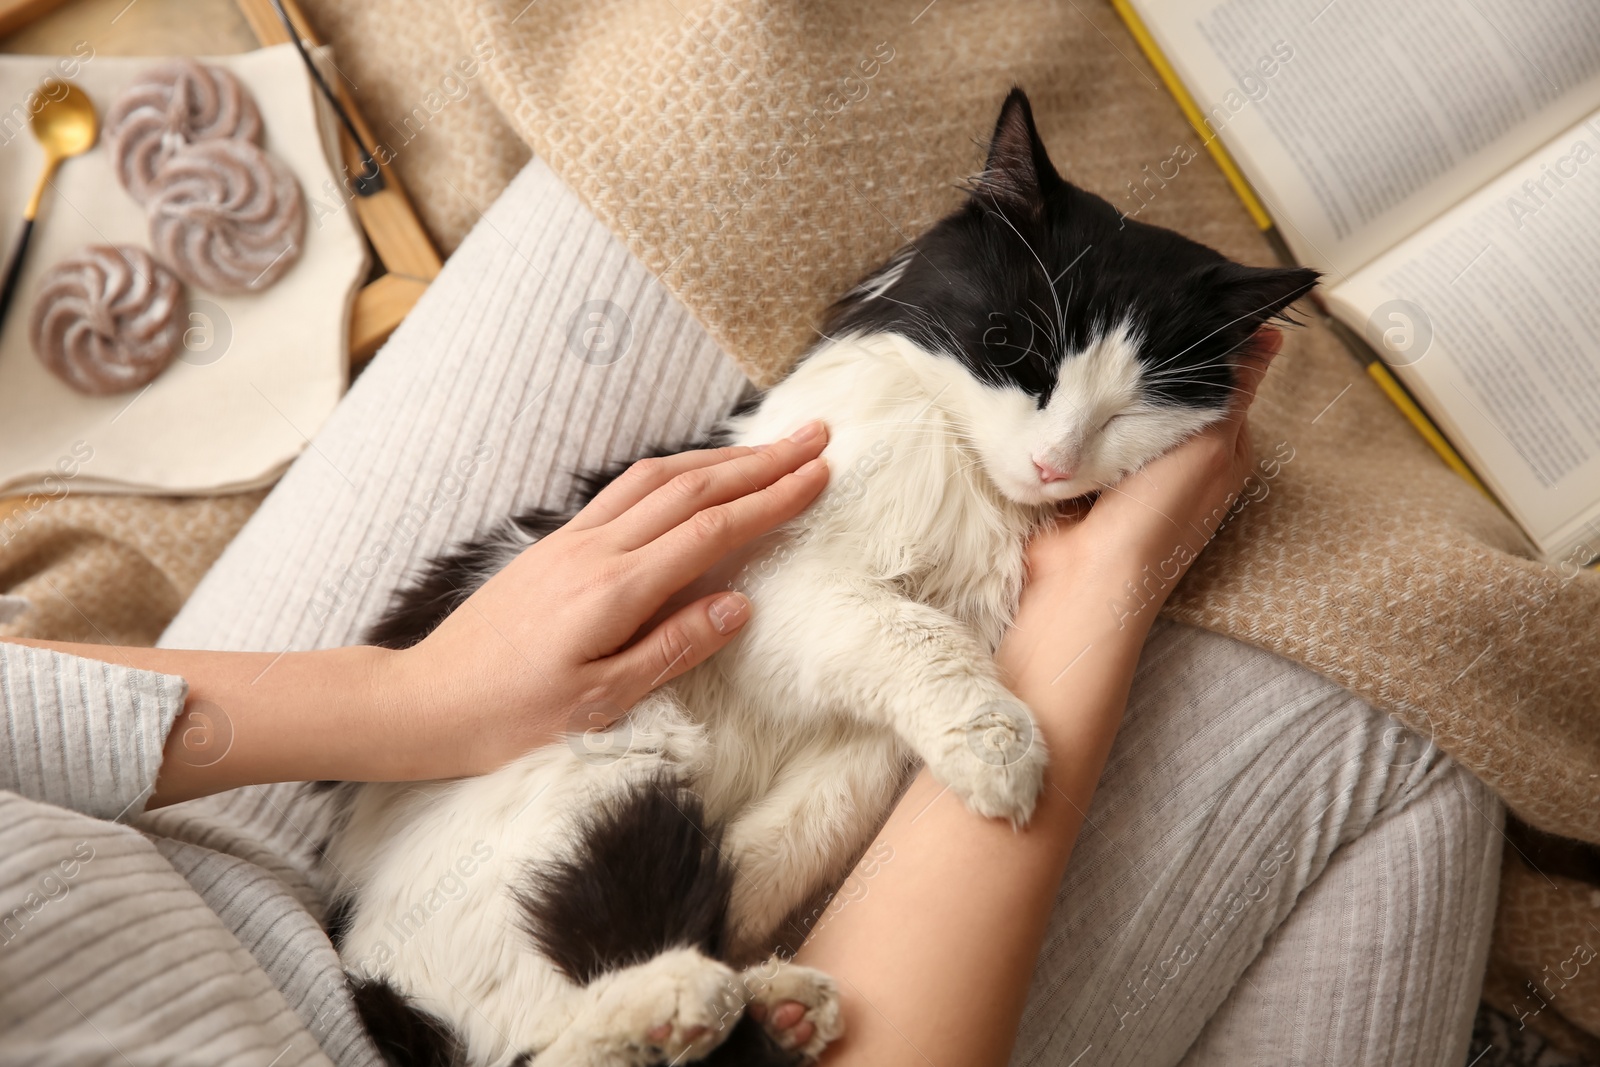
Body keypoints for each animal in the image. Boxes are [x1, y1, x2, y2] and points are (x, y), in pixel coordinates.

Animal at [324, 91, 1312, 1067]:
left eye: (1129, 412)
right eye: (1020, 355)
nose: (1054, 463)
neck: (970, 483)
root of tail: (363, 964)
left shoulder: (865, 742)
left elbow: (797, 836)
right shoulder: (775, 590)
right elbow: (916, 641)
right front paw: (1004, 755)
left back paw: (770, 1005)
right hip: (617, 759)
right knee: (540, 1043)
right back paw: (677, 1003)